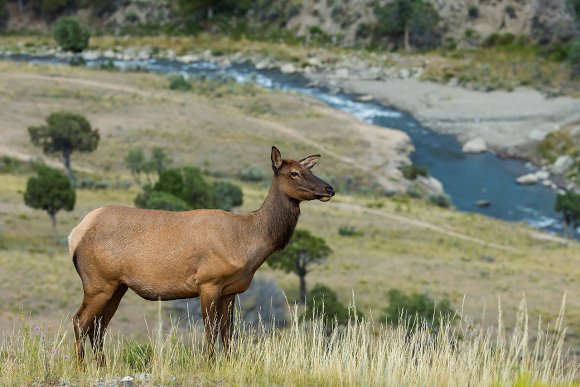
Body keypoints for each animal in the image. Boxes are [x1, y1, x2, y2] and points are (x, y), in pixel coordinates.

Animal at [68, 146, 336, 366]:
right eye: (294, 173)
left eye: (308, 169)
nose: (329, 188)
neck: (248, 242)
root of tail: (74, 235)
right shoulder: (208, 282)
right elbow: (210, 330)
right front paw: (208, 363)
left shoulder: (231, 290)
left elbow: (228, 332)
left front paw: (229, 363)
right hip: (98, 282)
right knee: (80, 320)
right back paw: (81, 367)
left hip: (117, 286)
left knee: (98, 326)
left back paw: (101, 365)